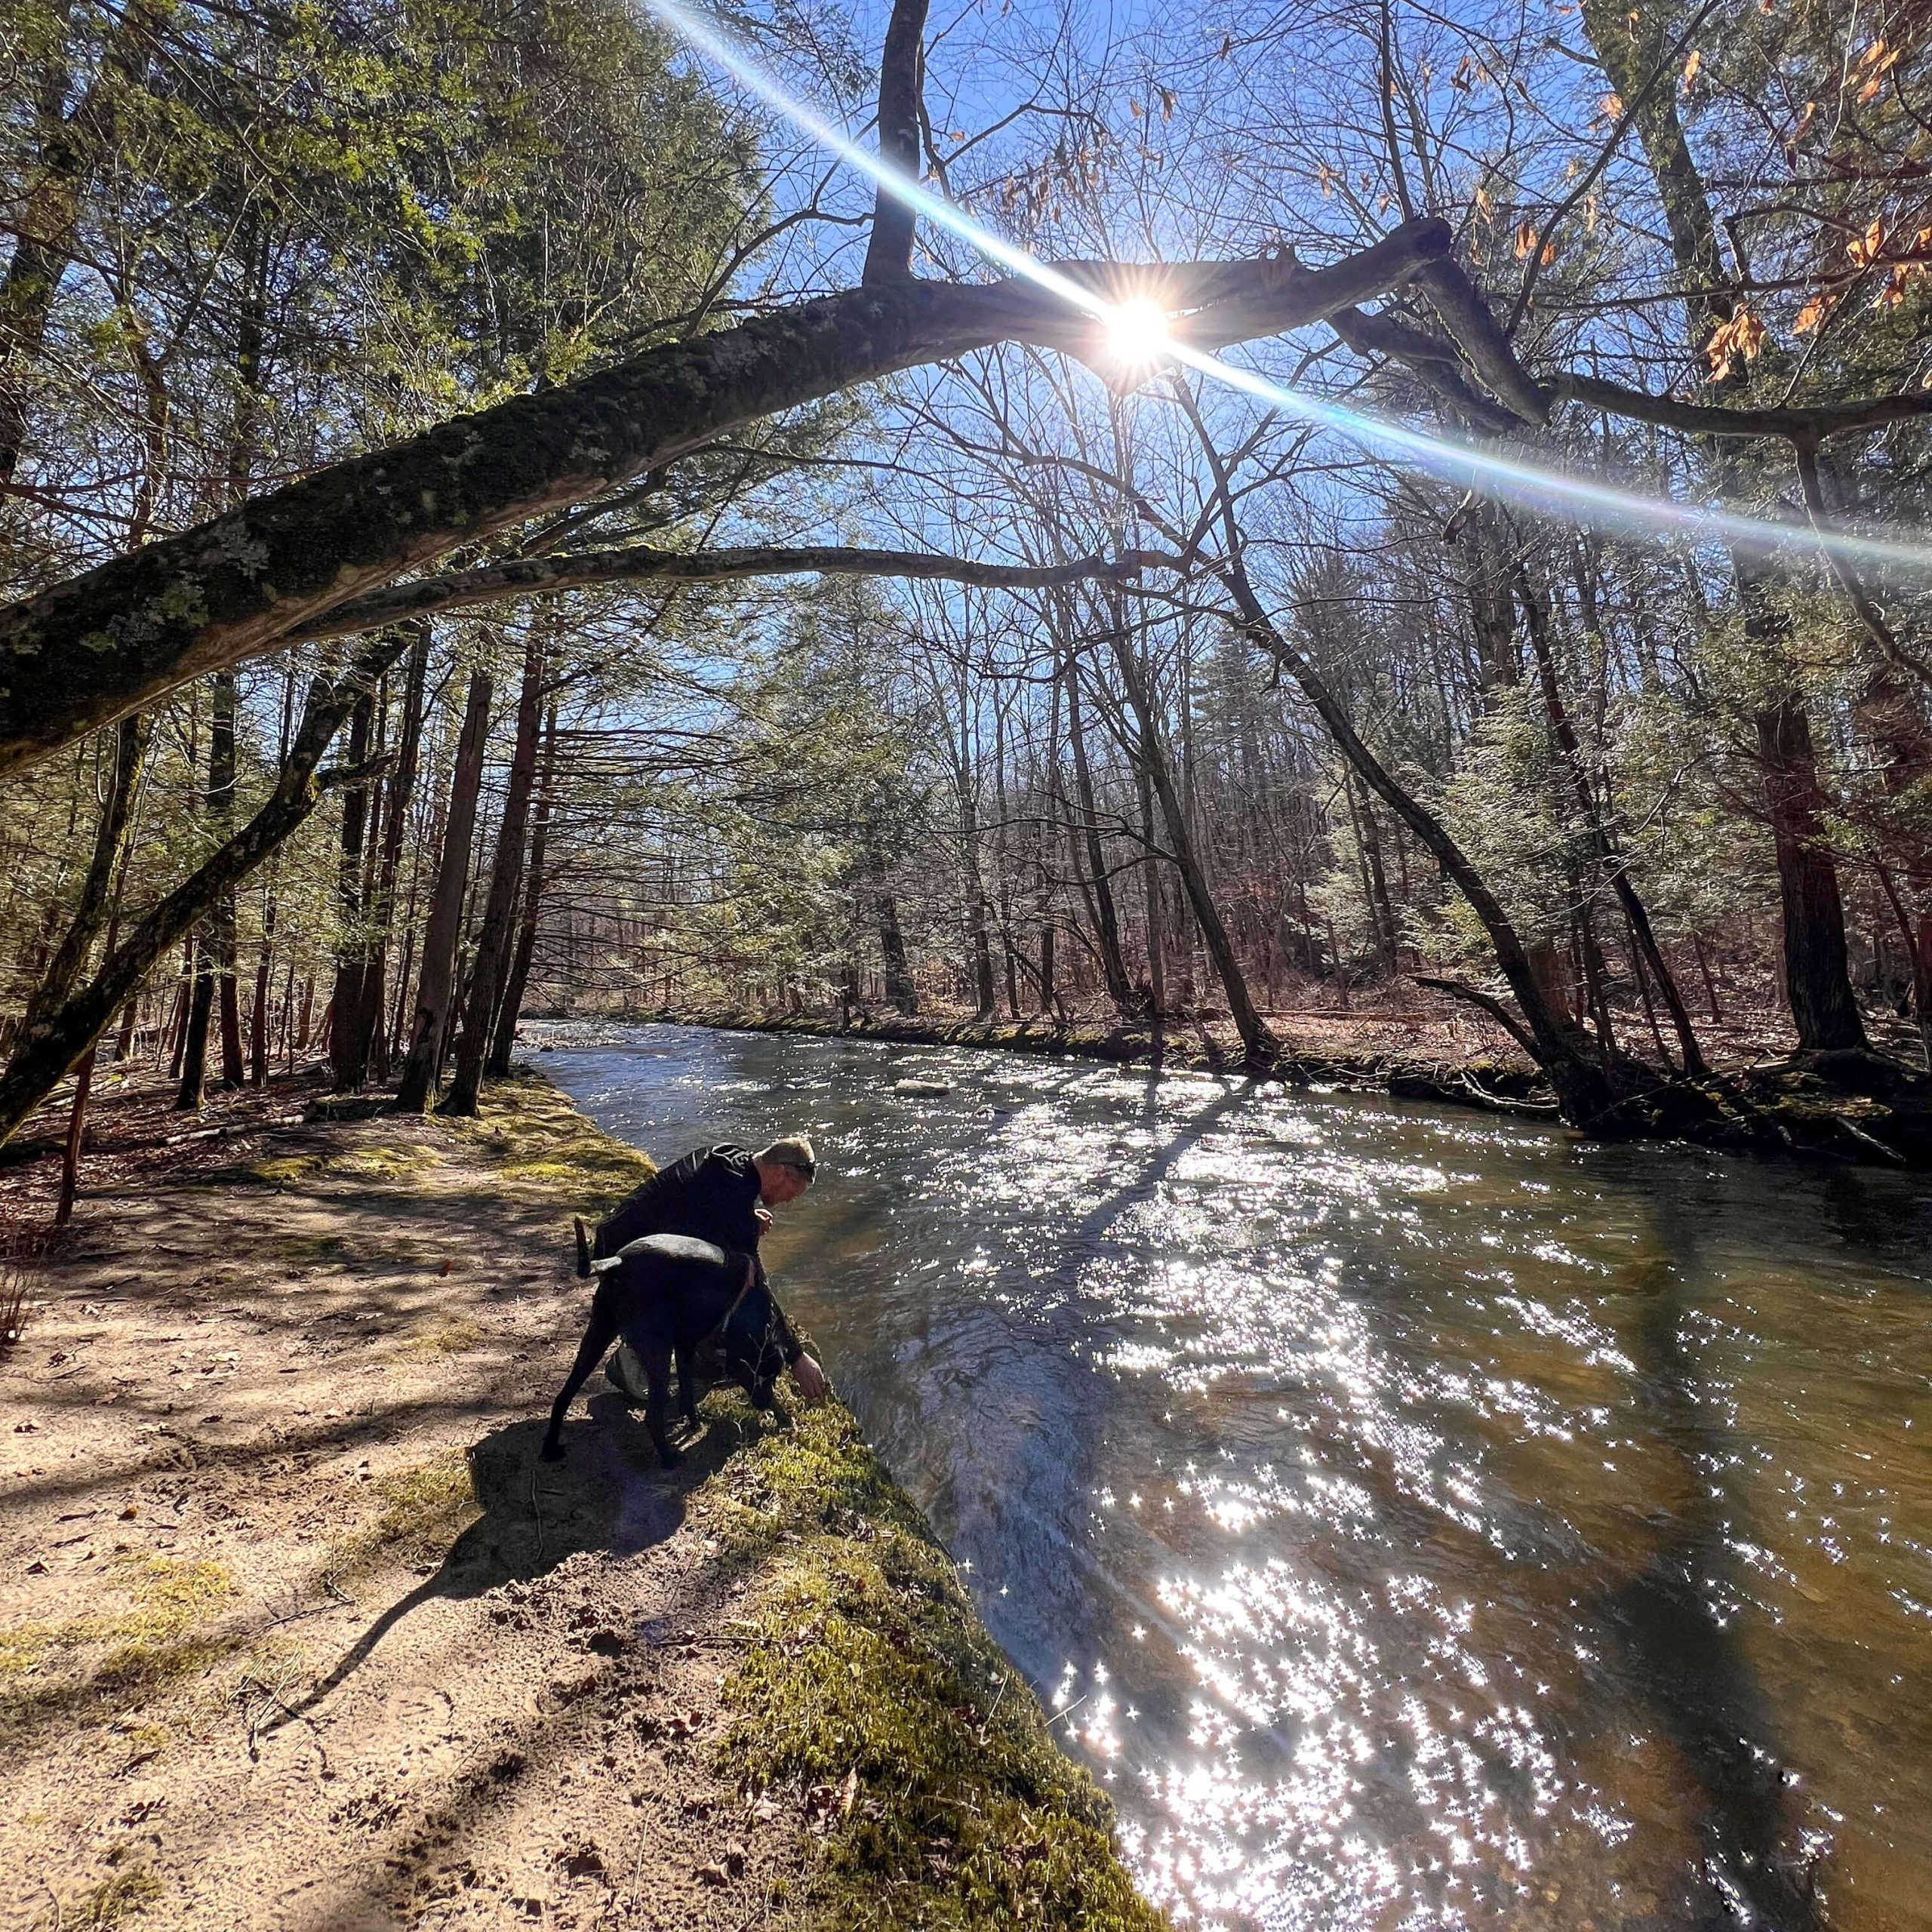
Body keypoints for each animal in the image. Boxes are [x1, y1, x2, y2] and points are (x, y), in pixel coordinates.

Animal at [540, 1236, 780, 1460]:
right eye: (767, 1376)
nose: (765, 1404)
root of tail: (617, 1262)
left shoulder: (685, 1347)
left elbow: (687, 1394)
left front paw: (694, 1423)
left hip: (597, 1336)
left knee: (563, 1397)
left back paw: (551, 1448)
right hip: (658, 1353)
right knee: (652, 1417)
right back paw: (669, 1458)